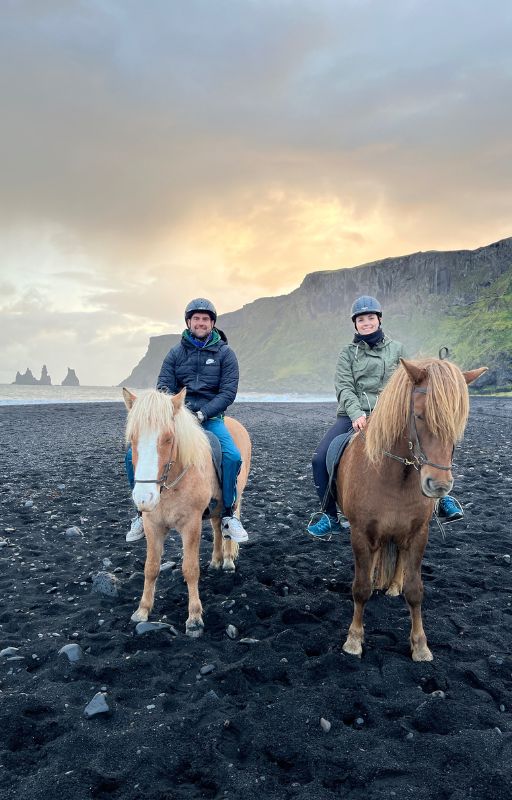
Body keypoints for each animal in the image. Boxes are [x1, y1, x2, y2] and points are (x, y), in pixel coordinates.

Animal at [124, 388, 252, 636]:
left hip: (235, 497)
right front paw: (142, 610)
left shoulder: (191, 524)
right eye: (132, 438)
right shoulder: (153, 524)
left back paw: (228, 561)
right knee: (217, 528)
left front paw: (194, 618)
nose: (144, 498)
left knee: (229, 526)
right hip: (215, 507)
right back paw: (216, 561)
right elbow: (151, 567)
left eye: (168, 438)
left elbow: (190, 569)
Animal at [338, 360, 486, 660]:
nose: (438, 484)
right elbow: (360, 588)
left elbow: (415, 589)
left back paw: (393, 586)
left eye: (459, 422)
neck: (395, 476)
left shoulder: (418, 534)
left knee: (398, 560)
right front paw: (354, 639)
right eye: (419, 416)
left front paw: (420, 645)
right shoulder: (360, 533)